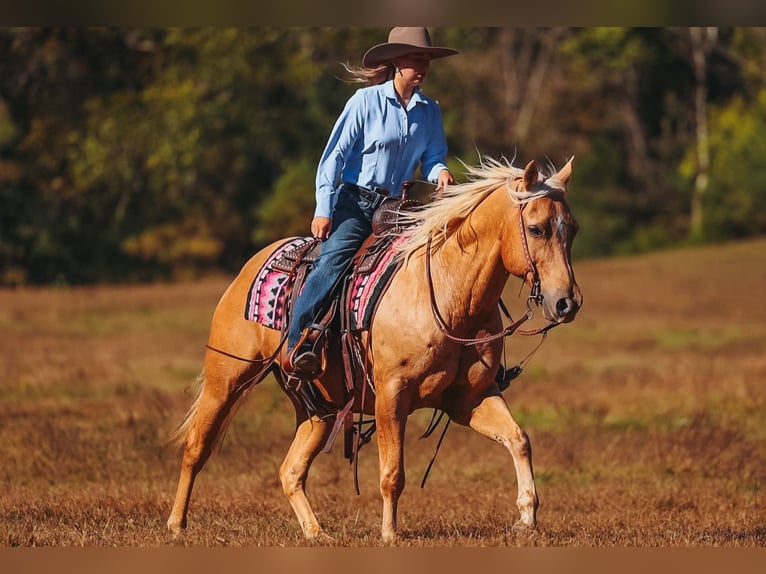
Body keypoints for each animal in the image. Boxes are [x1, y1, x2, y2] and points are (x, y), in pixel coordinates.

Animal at [166, 156, 582, 542]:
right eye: (537, 228)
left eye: (572, 229)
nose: (567, 303)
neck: (448, 294)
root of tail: (249, 266)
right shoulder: (391, 395)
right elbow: (392, 472)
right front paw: (389, 534)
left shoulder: (471, 398)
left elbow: (519, 439)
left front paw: (526, 519)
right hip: (226, 378)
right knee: (196, 448)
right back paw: (176, 525)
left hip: (319, 408)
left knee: (290, 471)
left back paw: (317, 533)